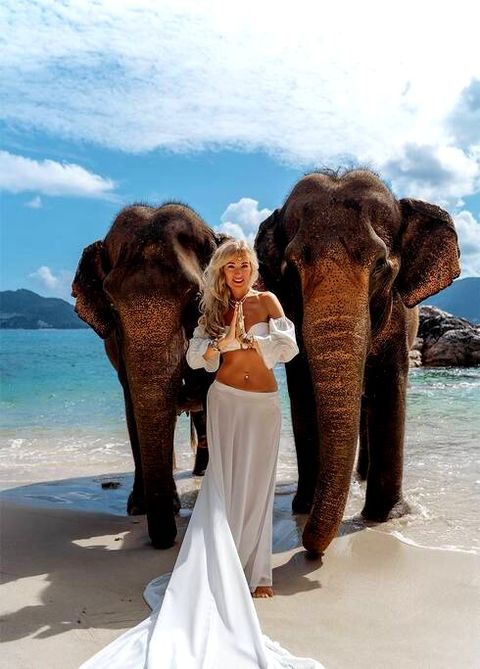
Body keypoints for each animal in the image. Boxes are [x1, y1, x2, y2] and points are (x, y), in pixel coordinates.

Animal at [254, 169, 460, 555]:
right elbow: (301, 390)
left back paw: (361, 477)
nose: (309, 549)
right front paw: (303, 507)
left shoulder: (398, 319)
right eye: (291, 269)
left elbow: (390, 387)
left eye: (380, 265)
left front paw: (387, 517)